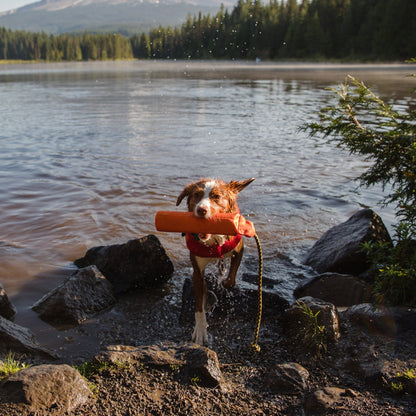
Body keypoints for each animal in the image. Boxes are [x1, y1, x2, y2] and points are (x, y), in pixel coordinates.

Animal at [176, 178, 254, 344]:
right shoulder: (197, 270)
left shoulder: (239, 249)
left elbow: (231, 280)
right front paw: (200, 330)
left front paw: (223, 283)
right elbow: (199, 304)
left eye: (216, 197)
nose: (201, 210)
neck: (213, 239)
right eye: (196, 195)